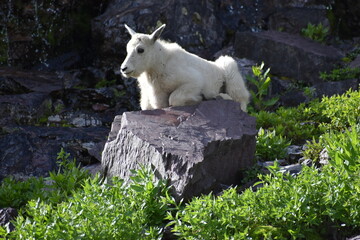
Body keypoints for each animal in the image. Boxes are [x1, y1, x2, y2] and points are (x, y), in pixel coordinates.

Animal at [119, 23, 249, 111]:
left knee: (241, 99)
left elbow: (174, 99)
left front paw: (199, 98)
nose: (124, 69)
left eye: (140, 50)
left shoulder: (194, 81)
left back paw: (221, 96)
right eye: (127, 48)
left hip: (231, 73)